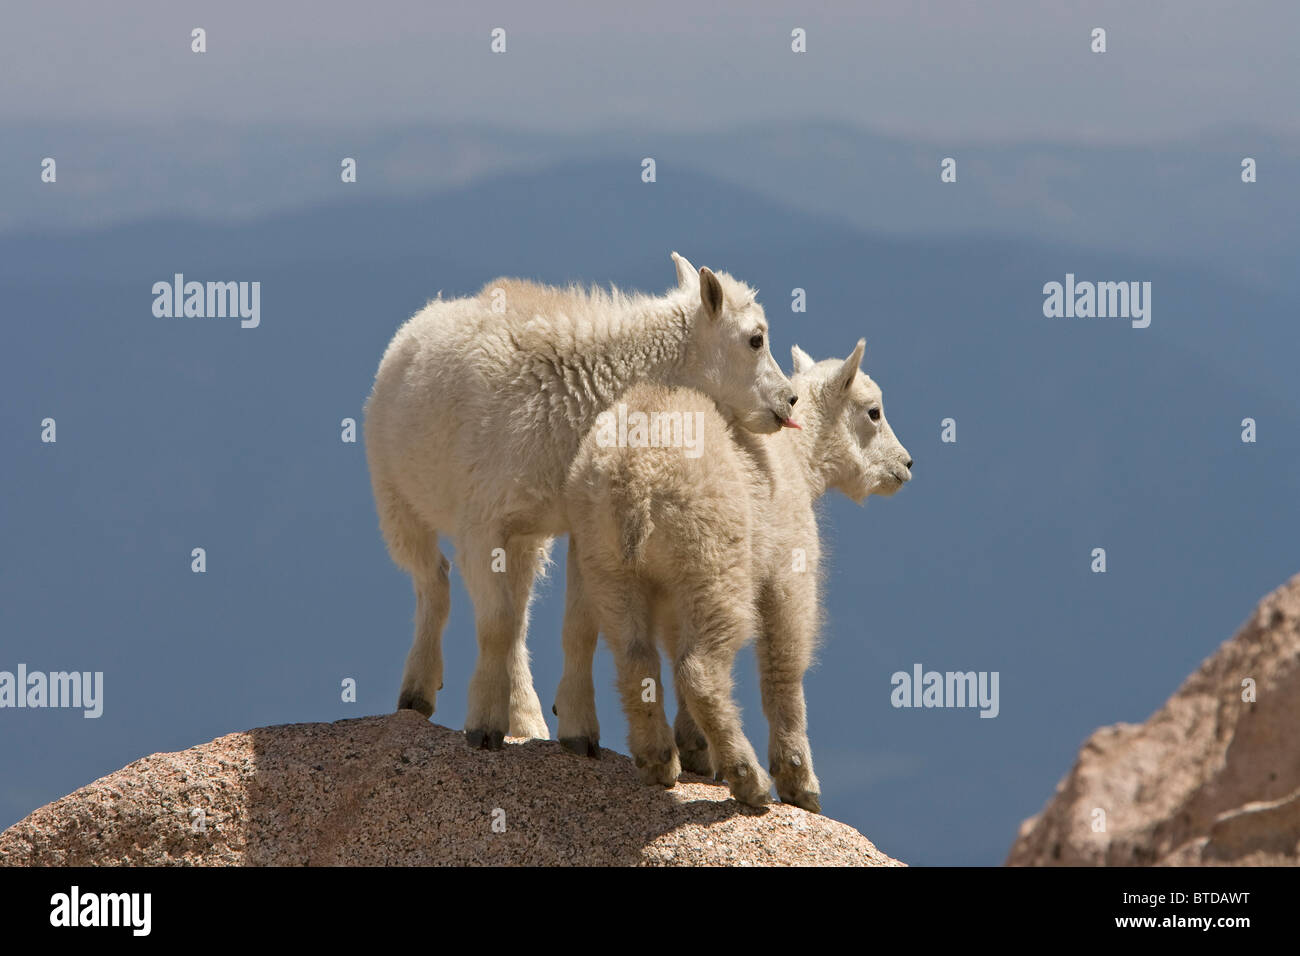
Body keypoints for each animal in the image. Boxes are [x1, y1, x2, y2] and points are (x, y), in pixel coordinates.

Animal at [361, 252, 795, 749]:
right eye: (756, 339)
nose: (789, 401)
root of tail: (418, 324)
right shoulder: (482, 523)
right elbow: (495, 623)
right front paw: (483, 726)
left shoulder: (581, 525)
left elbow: (577, 628)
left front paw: (579, 732)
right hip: (394, 495)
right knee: (433, 579)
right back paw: (418, 692)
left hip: (526, 537)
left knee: (517, 613)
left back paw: (527, 720)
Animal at [559, 343, 915, 806]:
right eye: (873, 412)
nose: (906, 465)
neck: (799, 455)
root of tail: (631, 474)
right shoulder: (788, 566)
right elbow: (784, 662)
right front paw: (799, 781)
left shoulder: (670, 591)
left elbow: (673, 644)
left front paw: (695, 749)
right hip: (712, 561)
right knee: (700, 669)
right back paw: (749, 778)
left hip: (608, 562)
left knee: (637, 658)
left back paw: (658, 760)